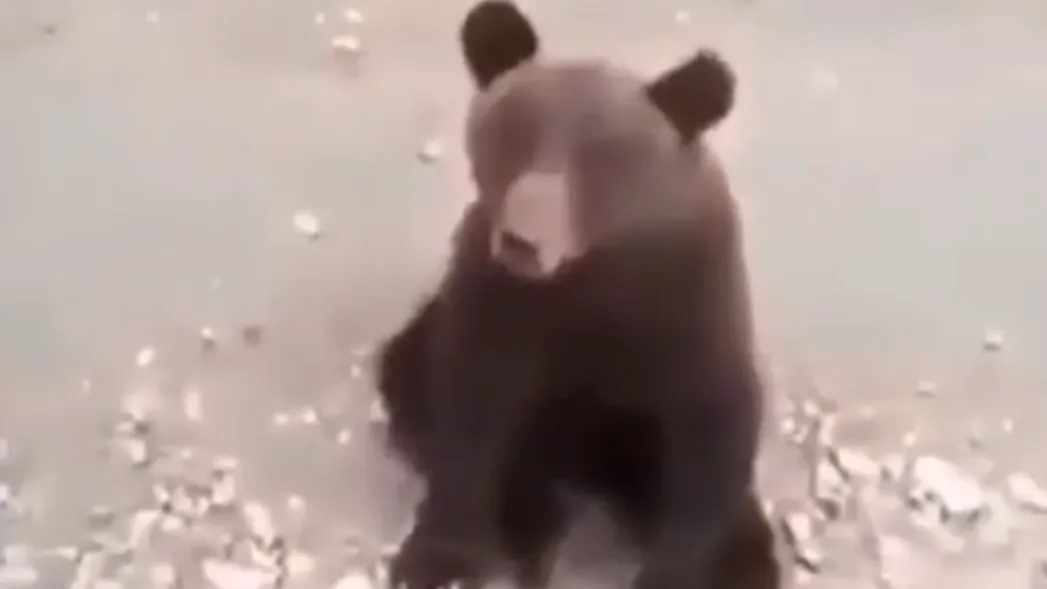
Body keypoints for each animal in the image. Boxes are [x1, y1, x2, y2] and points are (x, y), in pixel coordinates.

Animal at [372, 2, 780, 589]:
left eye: (602, 155)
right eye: (514, 131)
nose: (523, 239)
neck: (593, 265)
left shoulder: (686, 306)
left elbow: (711, 436)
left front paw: (681, 568)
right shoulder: (500, 301)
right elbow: (469, 409)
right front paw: (440, 557)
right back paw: (530, 524)